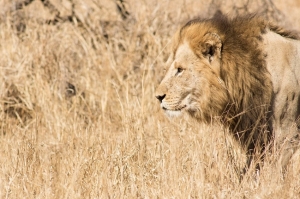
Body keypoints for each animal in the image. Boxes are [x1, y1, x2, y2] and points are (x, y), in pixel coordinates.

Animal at [157, 14, 300, 169]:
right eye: (166, 68)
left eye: (180, 70)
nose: (158, 97)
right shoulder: (255, 135)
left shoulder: (287, 133)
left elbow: (274, 168)